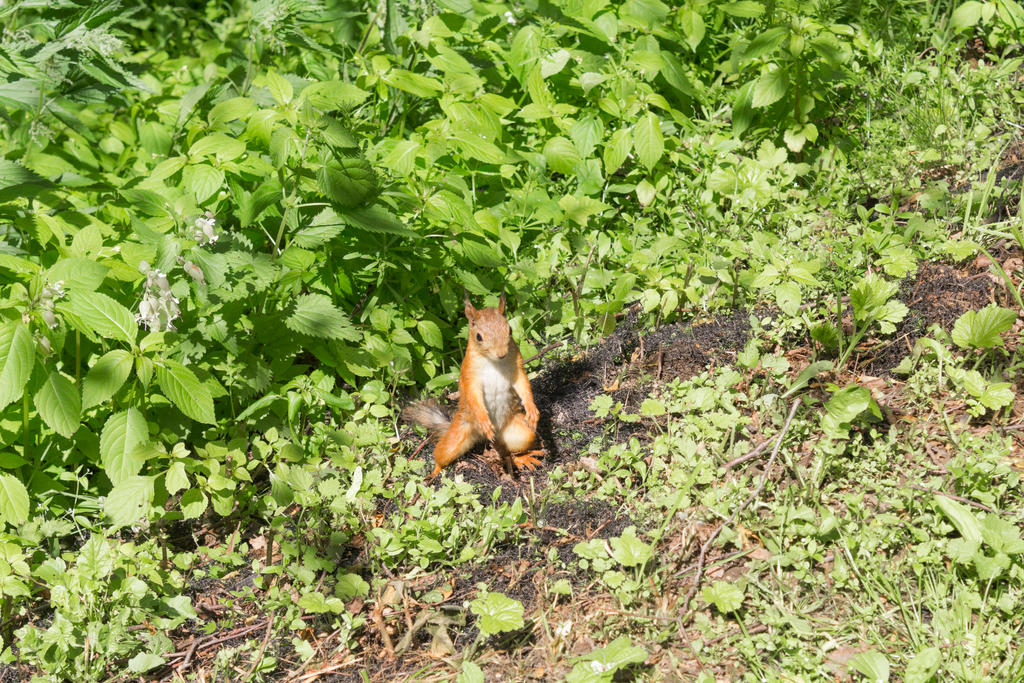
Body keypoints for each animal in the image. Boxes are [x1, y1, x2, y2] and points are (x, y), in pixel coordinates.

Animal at [401, 290, 544, 479]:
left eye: (510, 330)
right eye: (479, 336)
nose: (501, 354)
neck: (494, 363)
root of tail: (485, 436)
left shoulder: (517, 367)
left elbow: (523, 385)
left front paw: (532, 409)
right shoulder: (470, 375)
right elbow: (473, 394)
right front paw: (484, 418)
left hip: (520, 433)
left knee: (511, 448)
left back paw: (522, 458)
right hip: (459, 432)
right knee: (442, 454)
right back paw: (435, 472)